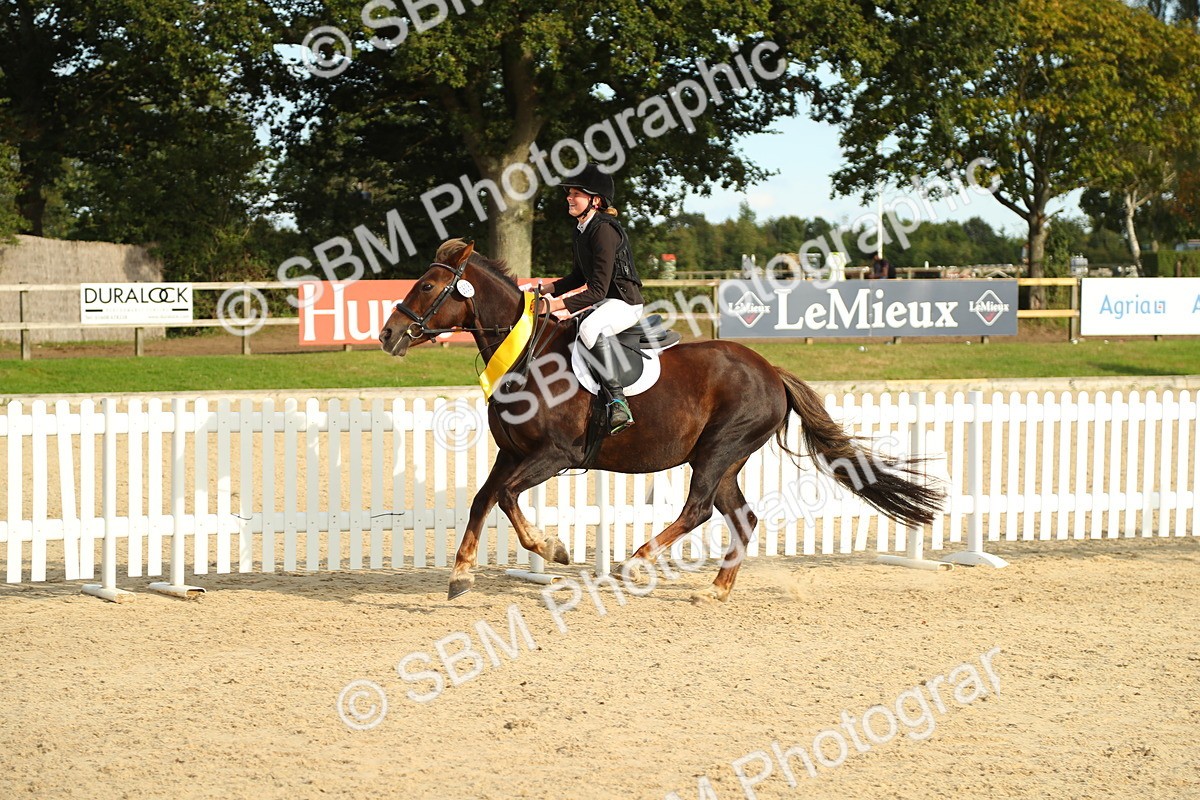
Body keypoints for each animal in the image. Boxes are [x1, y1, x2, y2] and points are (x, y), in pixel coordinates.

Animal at [379, 239, 944, 601]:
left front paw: (552, 549)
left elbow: (507, 497)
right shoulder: (514, 452)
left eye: (427, 286)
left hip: (718, 450)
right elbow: (485, 498)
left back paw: (634, 564)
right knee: (740, 516)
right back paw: (716, 590)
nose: (387, 335)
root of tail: (772, 371)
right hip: (724, 459)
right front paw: (461, 575)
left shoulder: (554, 456)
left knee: (697, 510)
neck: (525, 355)